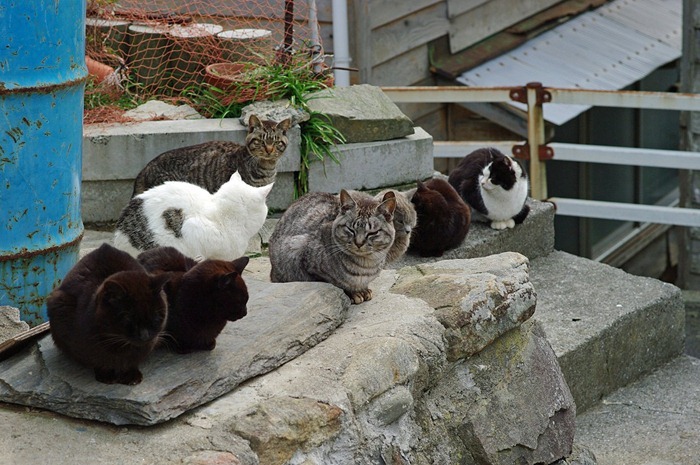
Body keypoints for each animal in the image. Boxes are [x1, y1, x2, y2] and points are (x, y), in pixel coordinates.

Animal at [46, 243, 170, 384]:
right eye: (128, 318)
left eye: (155, 316)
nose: (145, 335)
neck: (119, 346)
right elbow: (97, 361)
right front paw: (106, 375)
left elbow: (132, 361)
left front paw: (131, 375)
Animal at [266, 188, 394, 304]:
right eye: (350, 229)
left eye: (372, 233)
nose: (359, 243)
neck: (366, 265)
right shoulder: (301, 254)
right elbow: (336, 284)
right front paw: (353, 293)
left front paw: (363, 289)